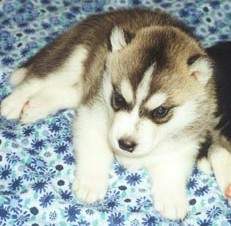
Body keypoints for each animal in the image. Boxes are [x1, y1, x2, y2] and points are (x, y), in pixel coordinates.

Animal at [0, 8, 231, 219]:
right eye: (118, 99)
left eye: (161, 111)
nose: (125, 144)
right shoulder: (93, 113)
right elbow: (95, 150)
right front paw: (91, 183)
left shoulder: (186, 140)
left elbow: (172, 169)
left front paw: (172, 199)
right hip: (76, 58)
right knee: (36, 79)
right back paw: (13, 103)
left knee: (71, 93)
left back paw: (35, 106)